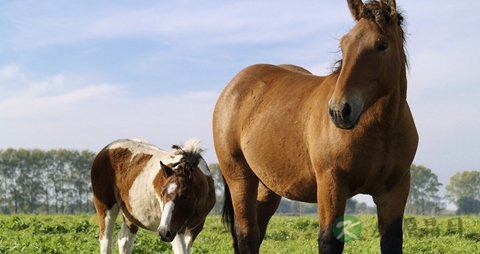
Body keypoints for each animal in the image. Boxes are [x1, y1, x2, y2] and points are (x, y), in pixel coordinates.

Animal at [213, 0, 416, 253]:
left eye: (381, 45)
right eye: (344, 45)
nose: (339, 110)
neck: (382, 130)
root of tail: (233, 86)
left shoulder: (395, 189)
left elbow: (391, 241)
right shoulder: (332, 183)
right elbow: (329, 240)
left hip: (268, 186)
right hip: (240, 178)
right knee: (247, 234)